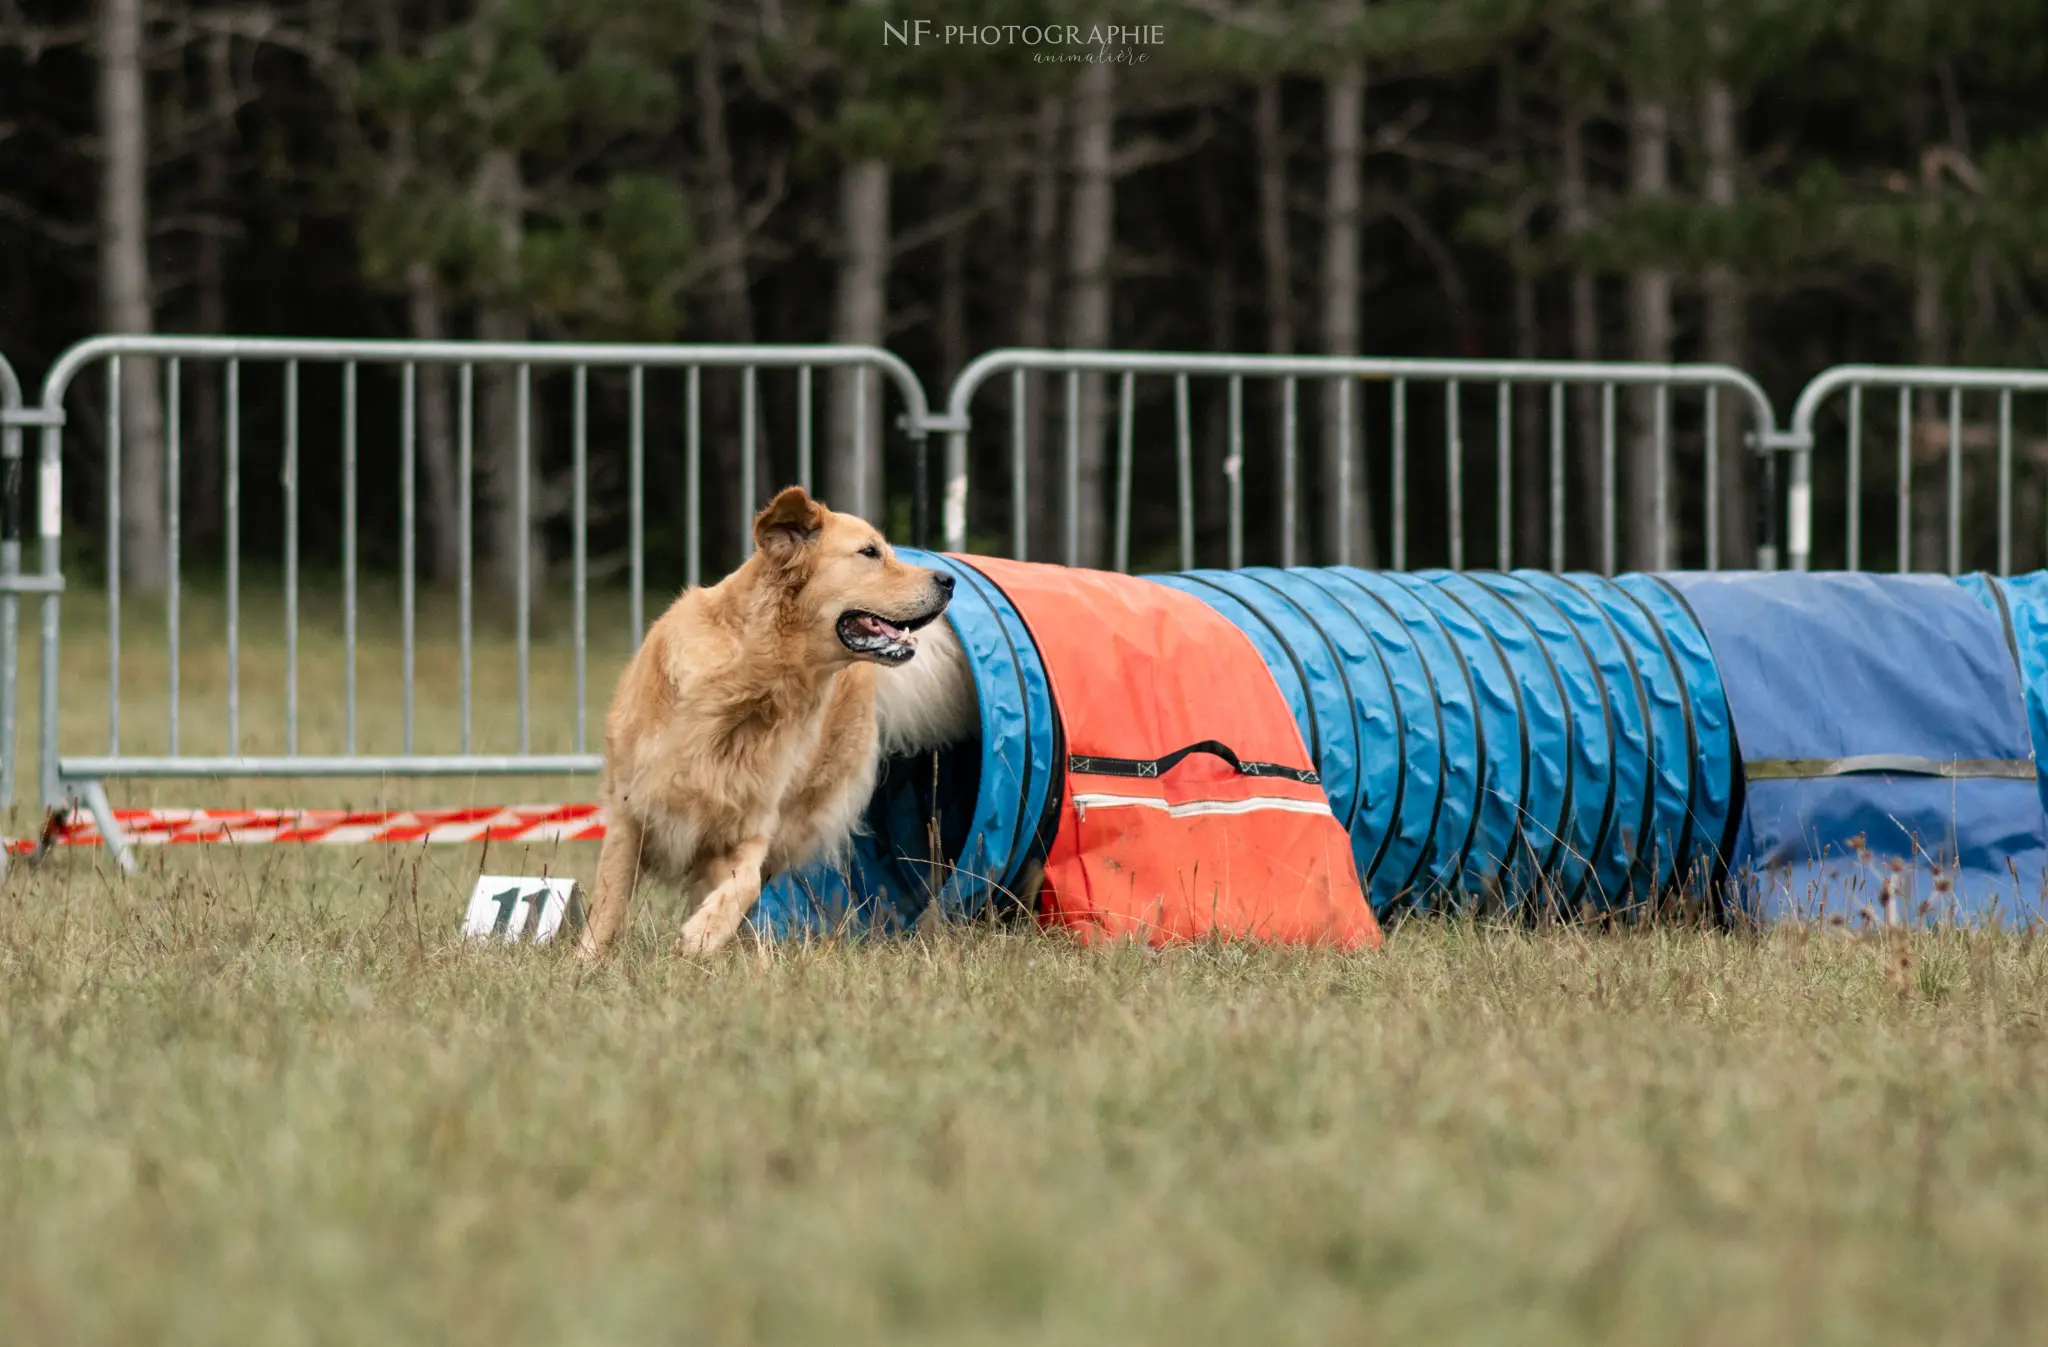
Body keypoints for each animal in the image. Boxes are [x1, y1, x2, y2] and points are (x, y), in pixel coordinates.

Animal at [577, 483, 958, 953]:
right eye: (870, 552)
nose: (949, 580)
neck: (751, 687)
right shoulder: (631, 811)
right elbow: (608, 903)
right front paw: (587, 961)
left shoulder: (752, 824)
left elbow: (745, 885)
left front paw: (704, 932)